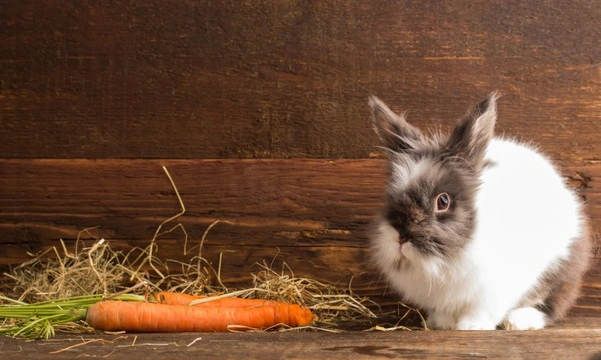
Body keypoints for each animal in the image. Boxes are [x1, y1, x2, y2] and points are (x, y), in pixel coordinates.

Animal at [368, 92, 592, 330]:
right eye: (390, 197)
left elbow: (482, 310)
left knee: (553, 303)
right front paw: (443, 323)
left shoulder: (493, 290)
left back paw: (519, 320)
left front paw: (471, 326)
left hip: (561, 268)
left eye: (443, 201)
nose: (400, 237)